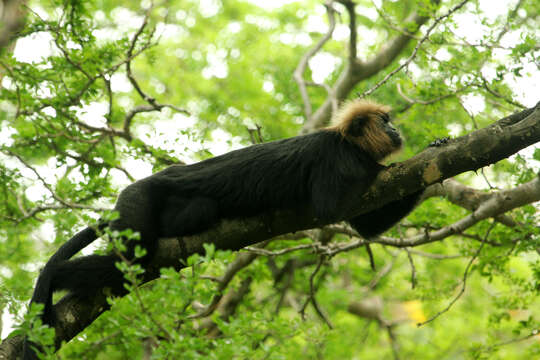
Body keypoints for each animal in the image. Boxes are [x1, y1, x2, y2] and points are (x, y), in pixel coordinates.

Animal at [24, 99, 422, 360]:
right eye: (384, 122)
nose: (395, 128)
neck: (348, 144)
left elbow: (365, 226)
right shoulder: (334, 158)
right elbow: (331, 207)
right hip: (136, 204)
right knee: (132, 259)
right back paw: (50, 278)